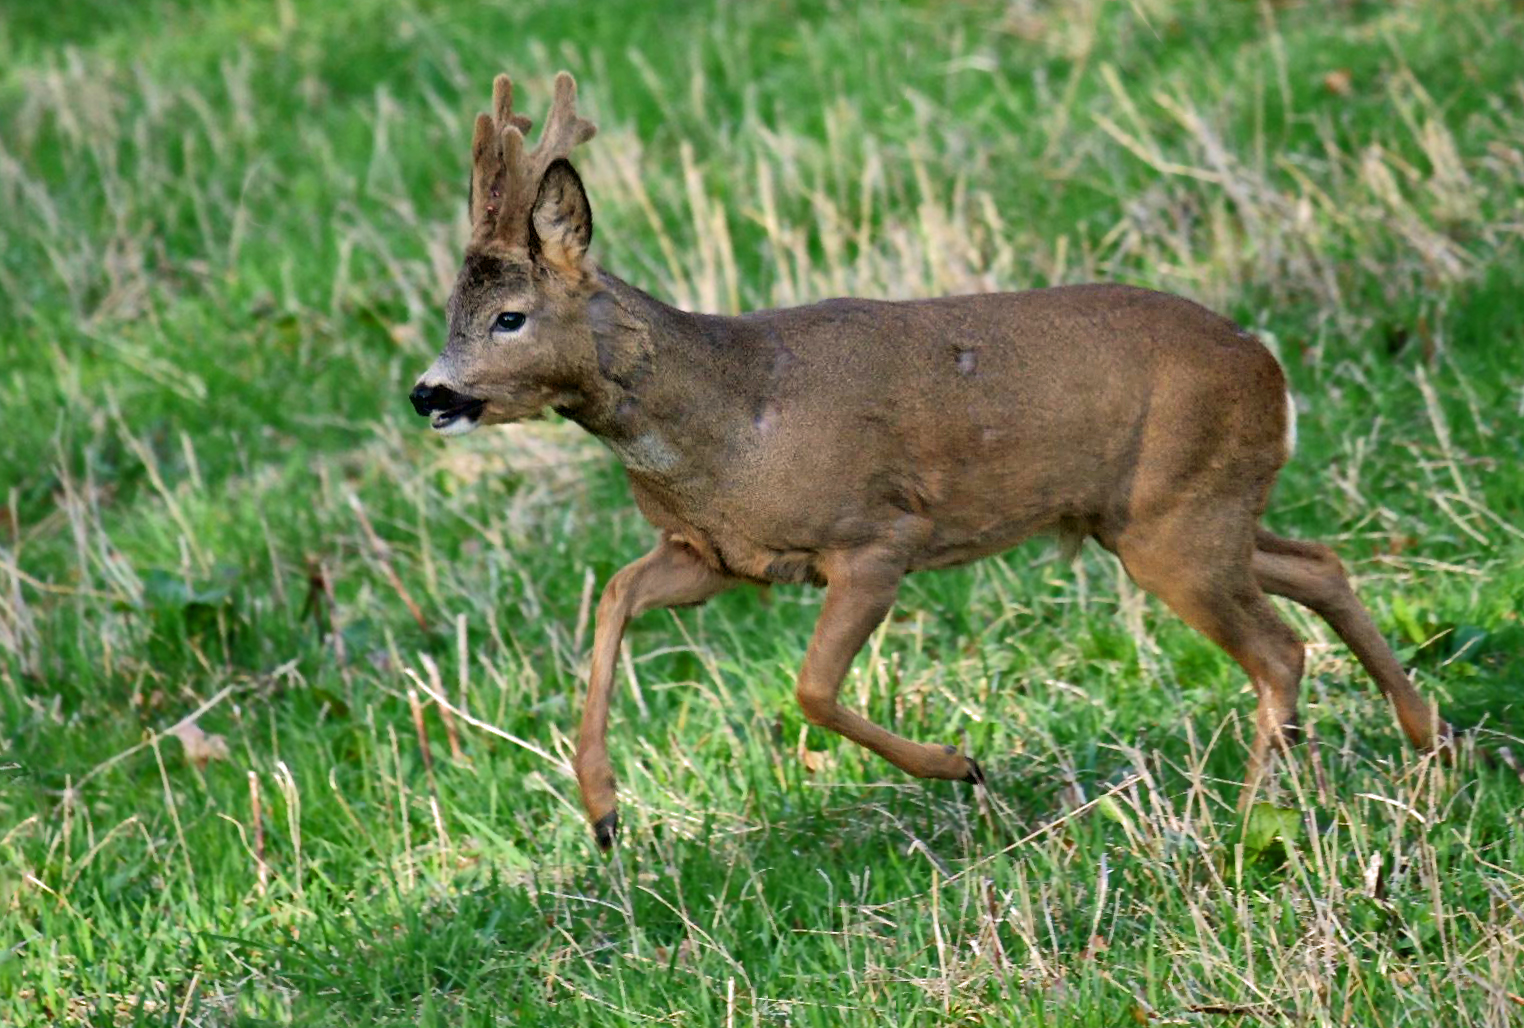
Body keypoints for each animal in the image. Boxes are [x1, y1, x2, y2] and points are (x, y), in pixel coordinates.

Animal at [414, 70, 1450, 846]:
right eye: (453, 310)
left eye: (510, 317)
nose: (429, 392)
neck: (729, 420)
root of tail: (1270, 368)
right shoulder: (719, 557)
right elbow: (616, 595)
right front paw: (602, 812)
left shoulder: (877, 538)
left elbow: (812, 689)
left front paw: (961, 764)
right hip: (1173, 512)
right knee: (1321, 566)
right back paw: (1426, 739)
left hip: (1178, 522)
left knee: (1280, 647)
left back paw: (1243, 822)